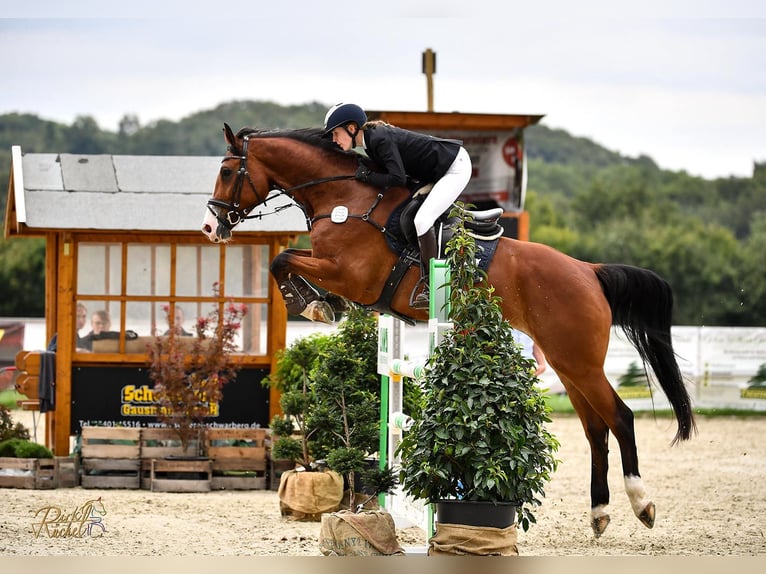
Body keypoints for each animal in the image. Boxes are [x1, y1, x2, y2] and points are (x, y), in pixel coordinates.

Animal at [202, 122, 696, 540]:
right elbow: (284, 260)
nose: (211, 227)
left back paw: (642, 505)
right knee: (595, 430)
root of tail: (589, 271)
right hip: (566, 362)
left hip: (579, 360)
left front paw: (316, 305)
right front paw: (323, 304)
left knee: (621, 418)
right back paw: (599, 514)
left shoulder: (349, 273)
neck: (345, 201)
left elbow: (281, 260)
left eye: (226, 171)